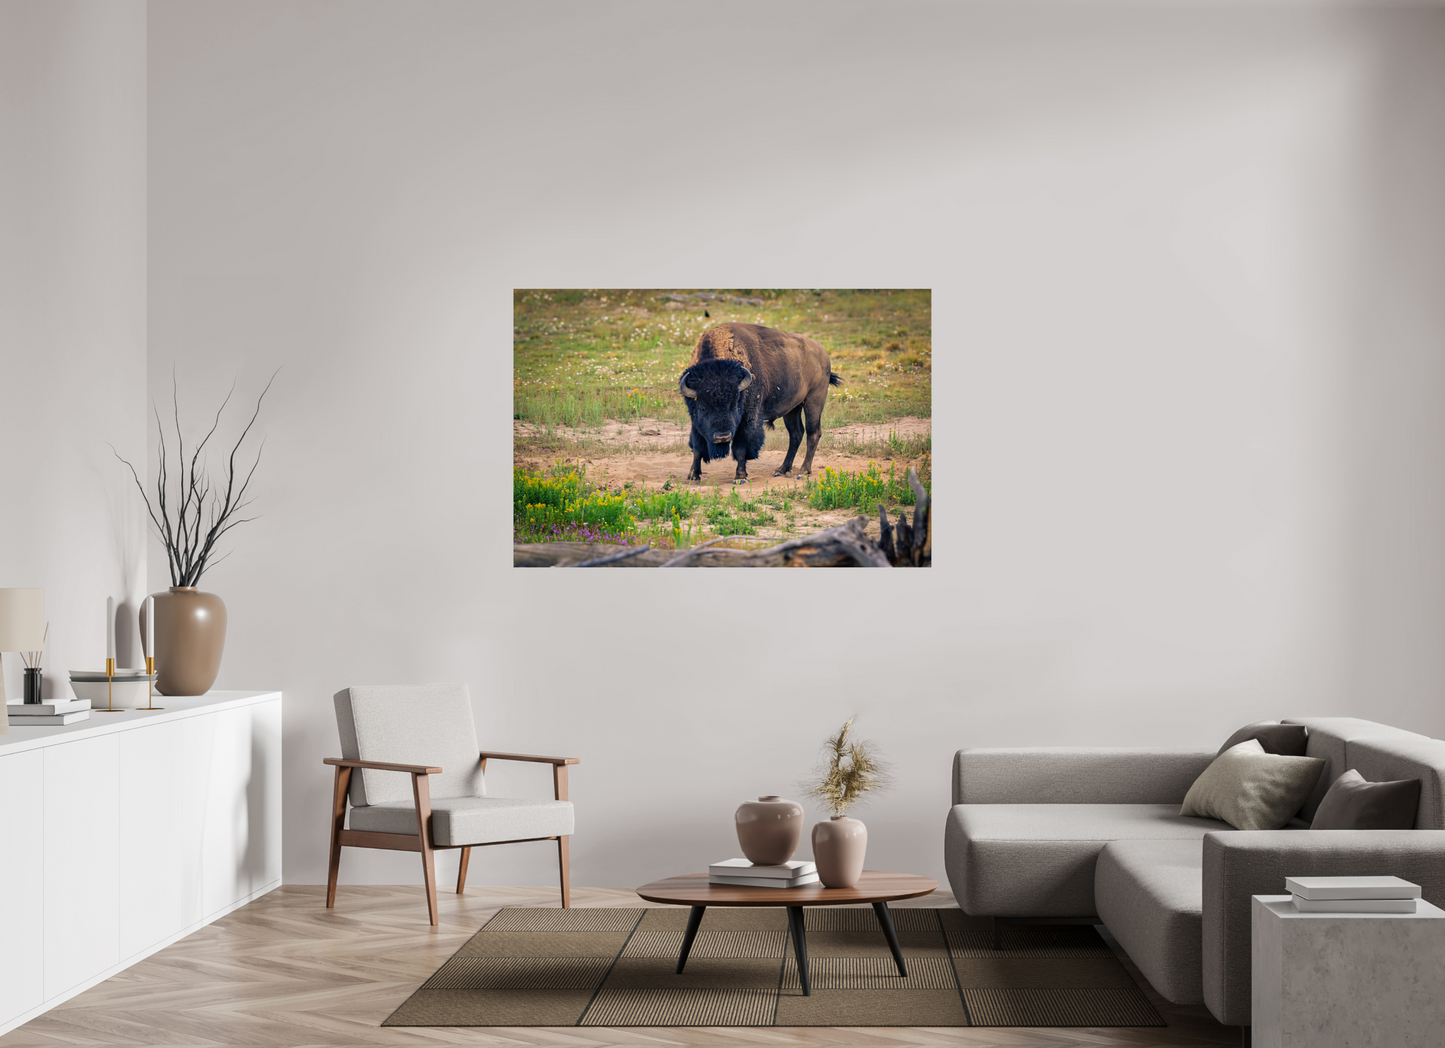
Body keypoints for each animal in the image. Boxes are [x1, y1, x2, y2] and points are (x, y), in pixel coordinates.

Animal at [677, 322, 842, 483]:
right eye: (702, 408)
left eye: (735, 405)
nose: (722, 436)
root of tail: (823, 354)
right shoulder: (697, 423)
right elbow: (697, 448)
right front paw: (692, 476)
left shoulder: (747, 420)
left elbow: (740, 448)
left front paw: (740, 477)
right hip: (792, 409)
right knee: (796, 434)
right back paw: (781, 470)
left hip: (814, 402)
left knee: (813, 433)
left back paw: (803, 472)